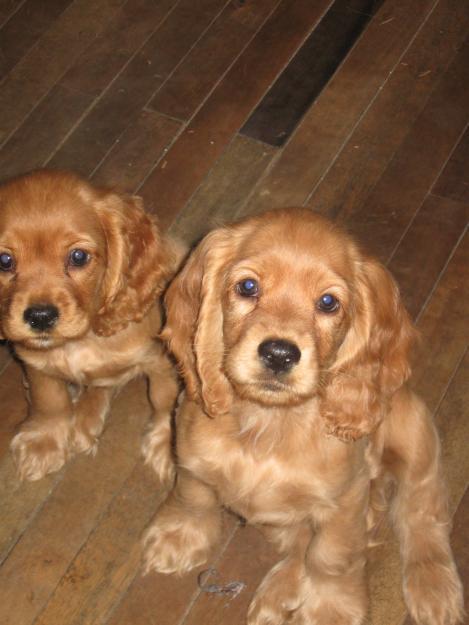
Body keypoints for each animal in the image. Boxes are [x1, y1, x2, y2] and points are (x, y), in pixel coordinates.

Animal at [0, 168, 180, 480]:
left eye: (78, 257)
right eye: (4, 260)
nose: (40, 316)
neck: (81, 340)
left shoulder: (159, 361)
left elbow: (164, 399)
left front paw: (167, 447)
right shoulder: (34, 360)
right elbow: (49, 398)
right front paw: (44, 441)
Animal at [144, 210, 462, 624]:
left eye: (328, 302)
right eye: (248, 286)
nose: (279, 354)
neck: (268, 424)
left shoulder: (345, 501)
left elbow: (331, 557)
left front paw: (332, 607)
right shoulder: (192, 457)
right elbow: (193, 496)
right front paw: (180, 537)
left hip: (415, 432)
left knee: (423, 510)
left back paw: (433, 588)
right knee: (297, 543)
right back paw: (277, 595)